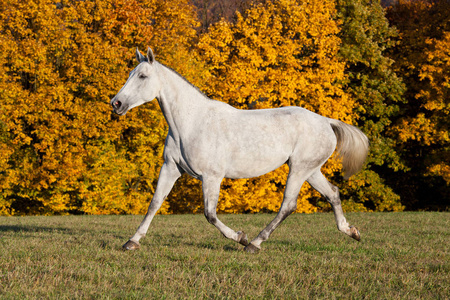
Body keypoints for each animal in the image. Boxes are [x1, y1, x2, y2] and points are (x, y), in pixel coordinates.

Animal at [110, 47, 368, 253]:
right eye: (130, 74)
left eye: (142, 76)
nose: (116, 103)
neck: (192, 123)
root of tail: (326, 121)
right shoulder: (171, 168)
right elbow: (155, 203)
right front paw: (132, 242)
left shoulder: (211, 177)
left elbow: (210, 214)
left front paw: (240, 238)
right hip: (311, 170)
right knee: (332, 193)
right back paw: (352, 231)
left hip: (299, 169)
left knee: (288, 205)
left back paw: (254, 244)